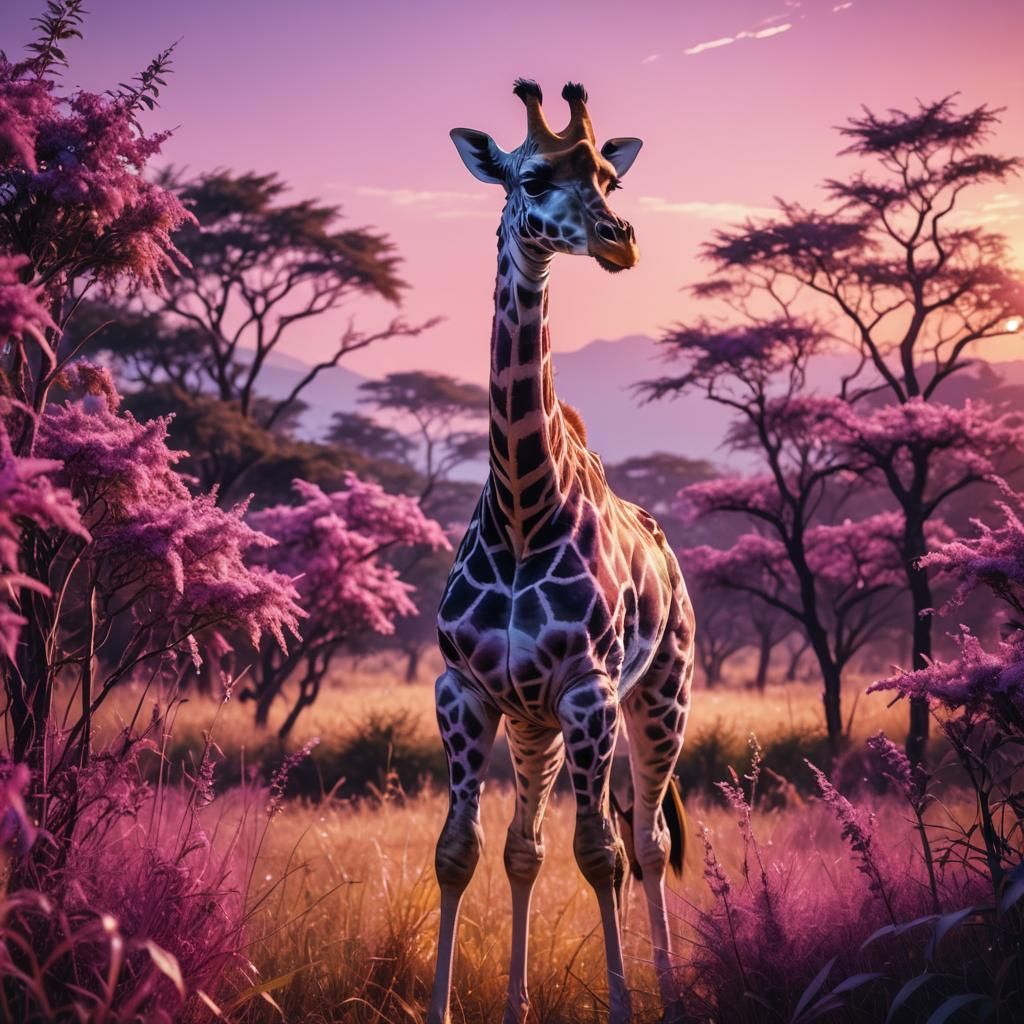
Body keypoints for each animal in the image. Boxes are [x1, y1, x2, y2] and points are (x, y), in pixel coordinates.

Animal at [428, 79, 695, 1024]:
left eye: (610, 178)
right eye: (534, 175)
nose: (621, 240)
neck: (521, 510)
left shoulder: (590, 691)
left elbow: (601, 855)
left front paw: (622, 1005)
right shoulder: (465, 690)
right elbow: (461, 852)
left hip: (661, 694)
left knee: (644, 842)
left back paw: (670, 995)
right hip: (534, 722)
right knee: (526, 847)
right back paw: (515, 1004)